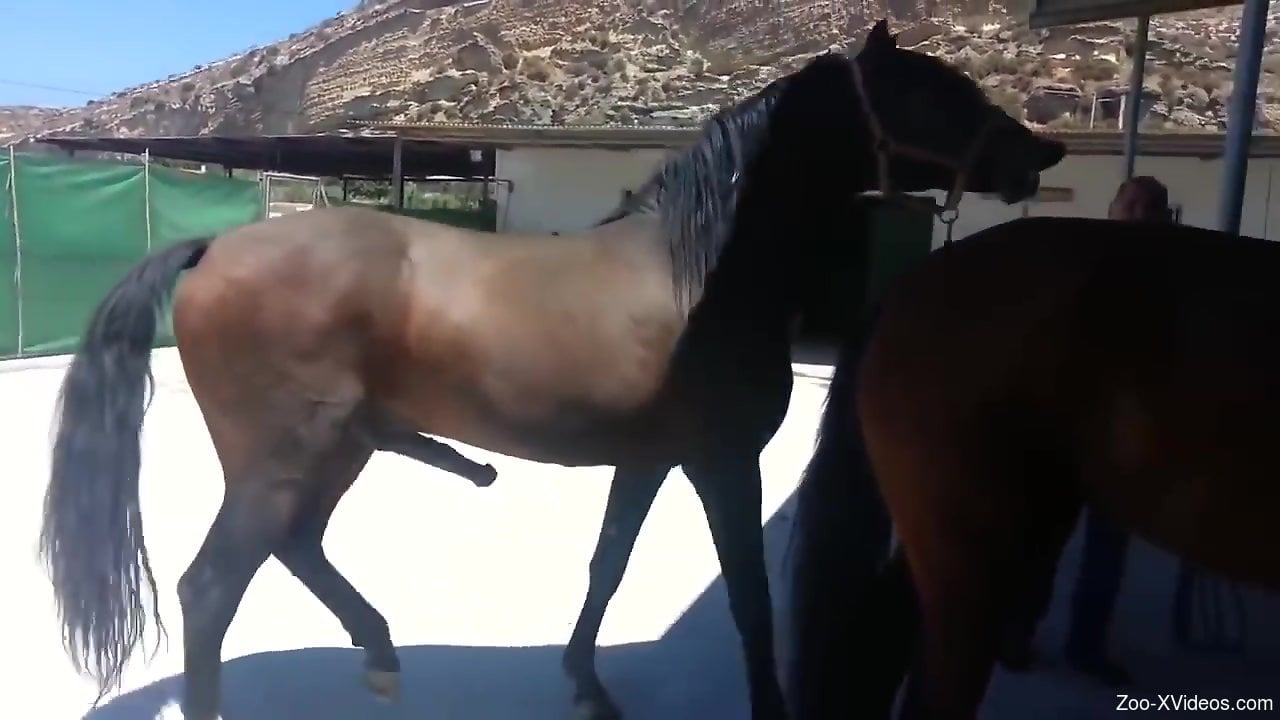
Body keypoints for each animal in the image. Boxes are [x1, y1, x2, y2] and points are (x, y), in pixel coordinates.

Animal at [39, 20, 1064, 720]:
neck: (697, 273)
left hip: (338, 450)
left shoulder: (649, 460)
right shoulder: (725, 464)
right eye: (929, 93)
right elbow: (749, 601)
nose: (1042, 152)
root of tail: (215, 248)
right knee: (213, 589)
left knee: (298, 549)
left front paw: (586, 683)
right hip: (285, 457)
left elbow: (607, 566)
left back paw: (381, 652)